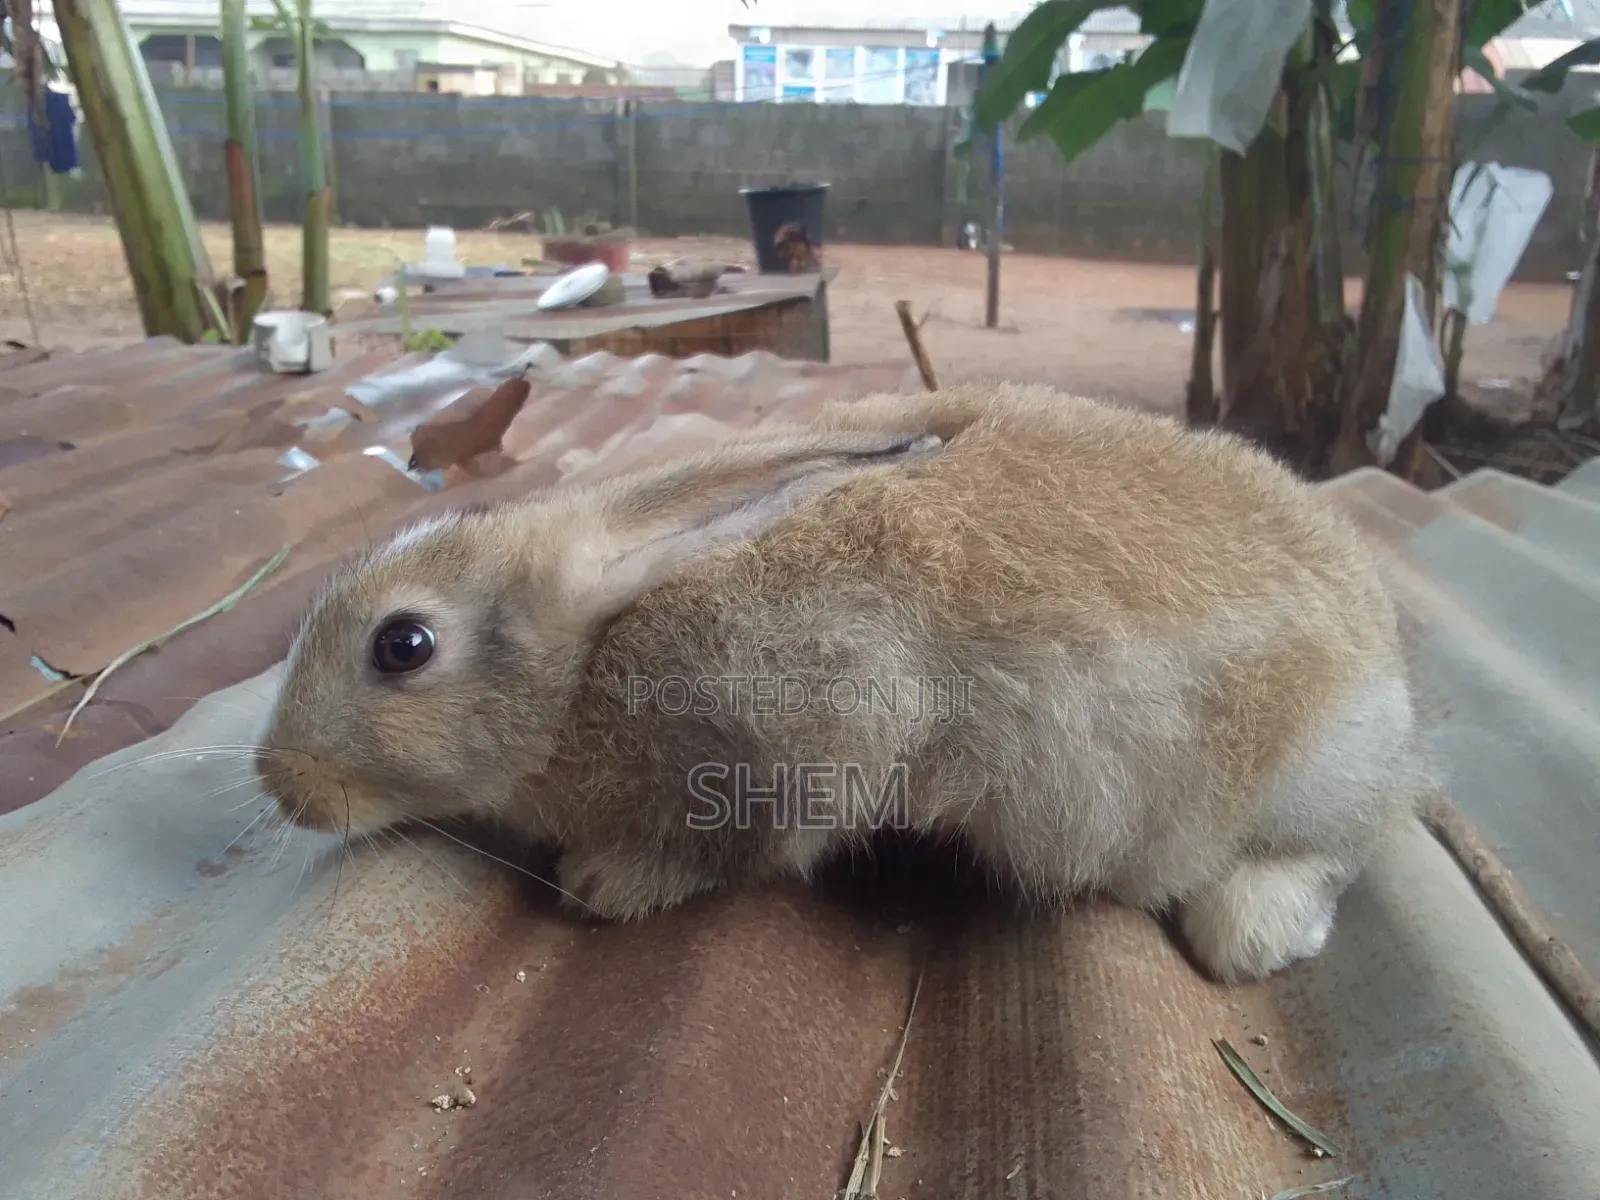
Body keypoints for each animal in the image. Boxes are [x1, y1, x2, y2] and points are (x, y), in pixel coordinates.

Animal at [256, 381, 1426, 984]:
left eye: (403, 646)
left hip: (1301, 780)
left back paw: (1256, 931)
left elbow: (735, 850)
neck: (587, 664)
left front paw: (604, 883)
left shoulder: (803, 737)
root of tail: (1389, 681)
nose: (279, 782)